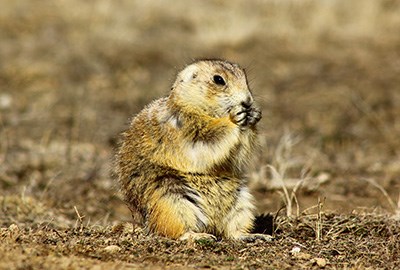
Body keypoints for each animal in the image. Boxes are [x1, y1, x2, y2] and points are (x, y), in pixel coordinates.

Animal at [115, 59, 268, 240]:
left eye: (245, 77)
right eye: (218, 80)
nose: (247, 101)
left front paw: (254, 115)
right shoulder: (186, 125)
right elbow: (208, 138)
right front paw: (235, 116)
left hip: (241, 202)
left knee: (232, 232)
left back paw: (252, 236)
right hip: (170, 199)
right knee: (173, 230)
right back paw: (198, 236)